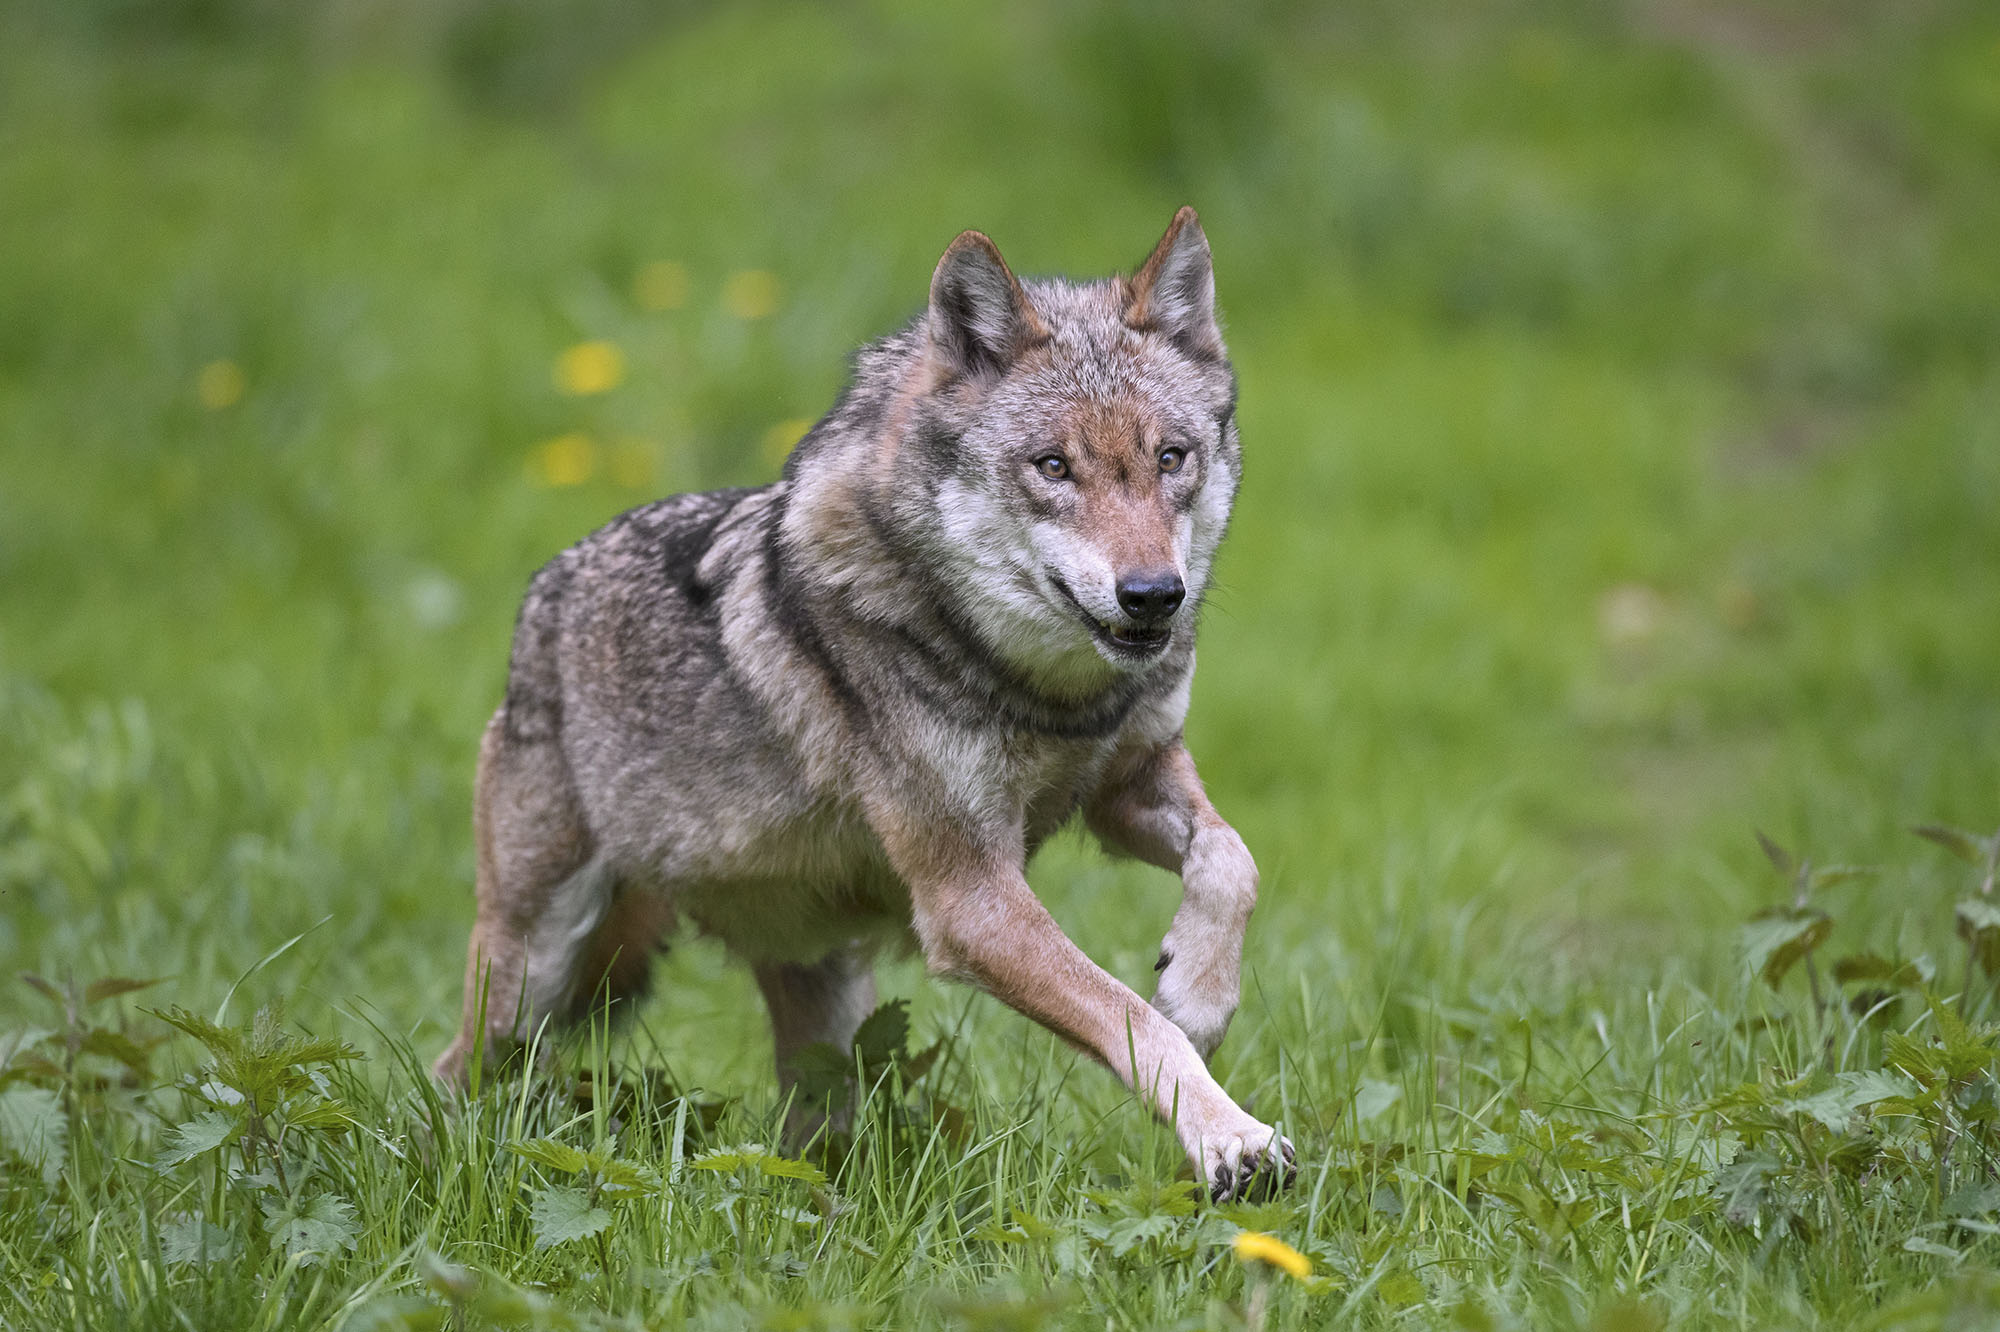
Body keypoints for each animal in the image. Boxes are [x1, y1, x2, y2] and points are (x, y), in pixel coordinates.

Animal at [434, 207, 1293, 1200]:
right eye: (1053, 467)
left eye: (1170, 458)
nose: (1154, 596)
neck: (1041, 694)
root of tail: (543, 596)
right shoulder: (971, 899)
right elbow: (1130, 1018)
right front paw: (1232, 1138)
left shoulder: (1127, 783)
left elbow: (1233, 862)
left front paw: (1198, 991)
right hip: (535, 971)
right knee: (455, 1072)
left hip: (822, 1006)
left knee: (807, 1137)